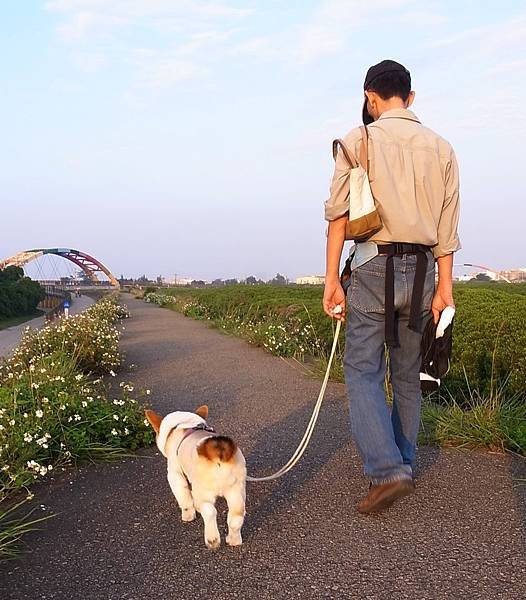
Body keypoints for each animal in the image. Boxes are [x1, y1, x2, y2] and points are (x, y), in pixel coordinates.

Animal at [145, 406, 249, 552]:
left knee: (209, 511)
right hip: (236, 492)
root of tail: (217, 452)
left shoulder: (174, 474)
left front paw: (187, 516)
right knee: (236, 518)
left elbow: (184, 498)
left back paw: (212, 540)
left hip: (202, 492)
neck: (185, 424)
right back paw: (233, 540)